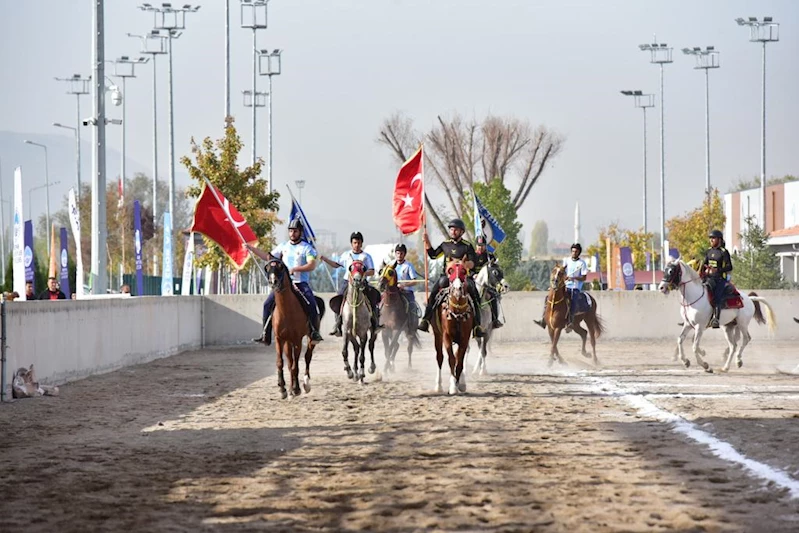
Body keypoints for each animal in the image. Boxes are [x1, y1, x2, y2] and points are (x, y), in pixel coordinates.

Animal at [264, 260, 324, 396]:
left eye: (280, 267)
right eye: (268, 268)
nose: (273, 282)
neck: (286, 310)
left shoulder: (297, 340)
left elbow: (296, 365)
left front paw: (297, 389)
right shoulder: (279, 339)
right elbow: (281, 362)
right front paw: (283, 388)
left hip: (310, 339)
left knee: (307, 357)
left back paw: (305, 384)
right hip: (287, 341)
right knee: (290, 361)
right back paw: (291, 388)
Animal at [432, 260, 476, 392]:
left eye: (463, 271)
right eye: (450, 271)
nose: (457, 289)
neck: (456, 311)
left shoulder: (465, 337)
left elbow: (459, 361)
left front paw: (459, 383)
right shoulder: (447, 336)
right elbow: (451, 359)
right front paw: (452, 386)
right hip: (437, 334)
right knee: (440, 357)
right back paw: (438, 386)